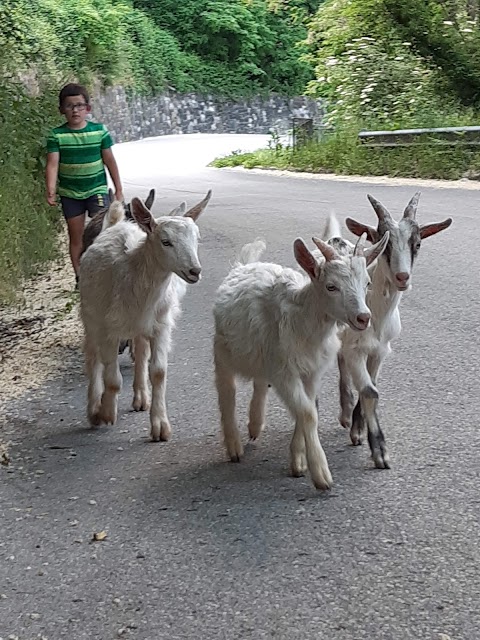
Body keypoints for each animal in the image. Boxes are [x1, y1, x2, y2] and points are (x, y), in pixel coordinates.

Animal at [79, 188, 211, 442]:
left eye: (196, 239)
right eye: (166, 241)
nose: (195, 271)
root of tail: (115, 224)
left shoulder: (160, 325)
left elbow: (158, 372)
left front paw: (160, 426)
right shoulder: (109, 330)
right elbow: (113, 379)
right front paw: (106, 413)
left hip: (140, 327)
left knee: (140, 353)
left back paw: (141, 397)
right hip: (91, 317)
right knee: (92, 357)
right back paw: (93, 408)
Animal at [214, 231, 390, 490]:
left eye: (367, 283)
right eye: (331, 286)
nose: (363, 318)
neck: (304, 319)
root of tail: (241, 267)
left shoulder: (311, 371)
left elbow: (307, 407)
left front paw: (298, 461)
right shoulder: (285, 373)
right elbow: (307, 412)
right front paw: (321, 475)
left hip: (263, 354)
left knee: (259, 383)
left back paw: (255, 424)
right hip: (222, 352)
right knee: (227, 393)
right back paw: (234, 446)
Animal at [324, 192, 452, 468]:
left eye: (417, 244)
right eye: (384, 244)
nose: (402, 277)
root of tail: (334, 240)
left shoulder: (380, 351)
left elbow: (371, 386)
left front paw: (359, 430)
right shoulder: (356, 350)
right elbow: (370, 391)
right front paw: (379, 451)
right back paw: (344, 412)